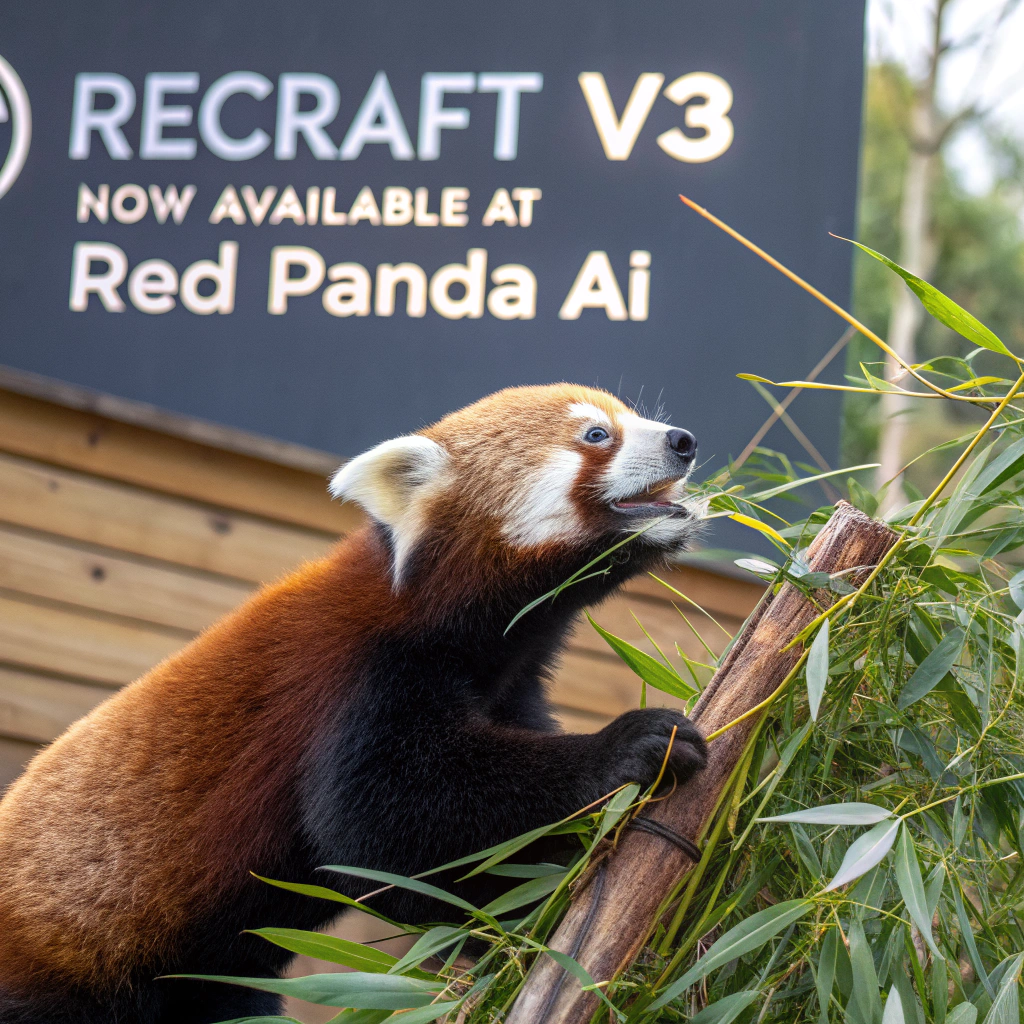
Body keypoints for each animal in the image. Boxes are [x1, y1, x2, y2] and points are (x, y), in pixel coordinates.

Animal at [0, 383, 707, 1024]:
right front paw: (629, 748)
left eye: (633, 416)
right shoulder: (353, 681)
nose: (683, 440)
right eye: (597, 435)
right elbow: (381, 826)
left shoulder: (508, 684)